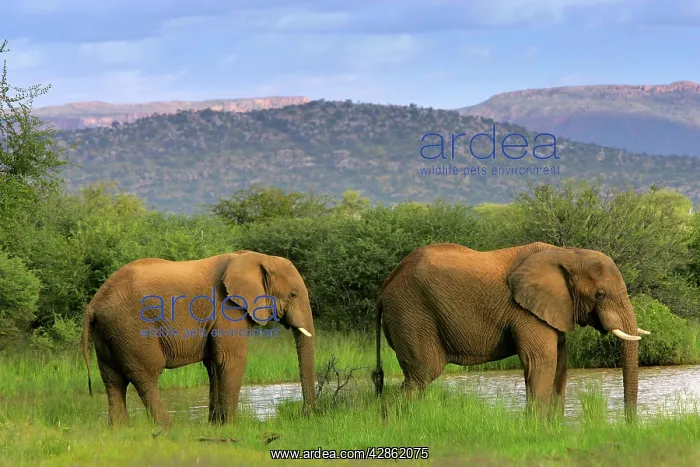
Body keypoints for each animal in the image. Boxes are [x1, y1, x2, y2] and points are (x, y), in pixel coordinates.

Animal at [81, 250, 316, 426]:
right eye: (293, 294)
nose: (305, 414)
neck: (255, 257)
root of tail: (95, 301)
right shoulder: (227, 308)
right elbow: (231, 359)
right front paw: (231, 426)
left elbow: (213, 364)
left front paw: (216, 425)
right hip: (132, 329)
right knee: (145, 376)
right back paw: (168, 426)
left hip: (107, 331)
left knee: (112, 379)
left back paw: (120, 429)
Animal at [371, 242, 650, 420]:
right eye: (600, 295)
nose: (629, 425)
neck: (567, 253)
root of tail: (385, 286)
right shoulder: (525, 311)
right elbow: (541, 361)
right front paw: (536, 429)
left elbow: (560, 363)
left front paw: (553, 427)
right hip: (412, 313)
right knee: (422, 374)